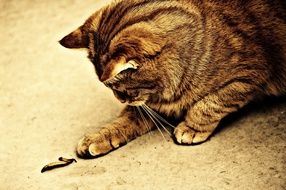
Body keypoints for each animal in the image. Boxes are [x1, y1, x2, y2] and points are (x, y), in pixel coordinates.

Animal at [58, 0, 286, 157]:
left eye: (118, 88)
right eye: (112, 90)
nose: (119, 98)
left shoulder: (249, 75)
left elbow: (208, 105)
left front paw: (191, 128)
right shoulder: (150, 106)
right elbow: (124, 120)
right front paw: (99, 136)